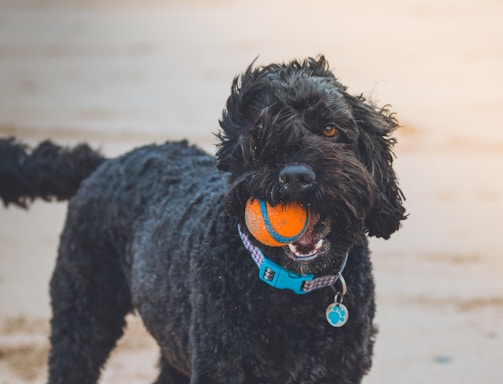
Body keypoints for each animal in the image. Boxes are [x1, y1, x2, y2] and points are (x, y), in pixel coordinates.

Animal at [0, 55, 408, 382]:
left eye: (329, 128)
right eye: (260, 135)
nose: (295, 177)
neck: (292, 292)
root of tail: (106, 162)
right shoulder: (222, 366)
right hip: (83, 315)